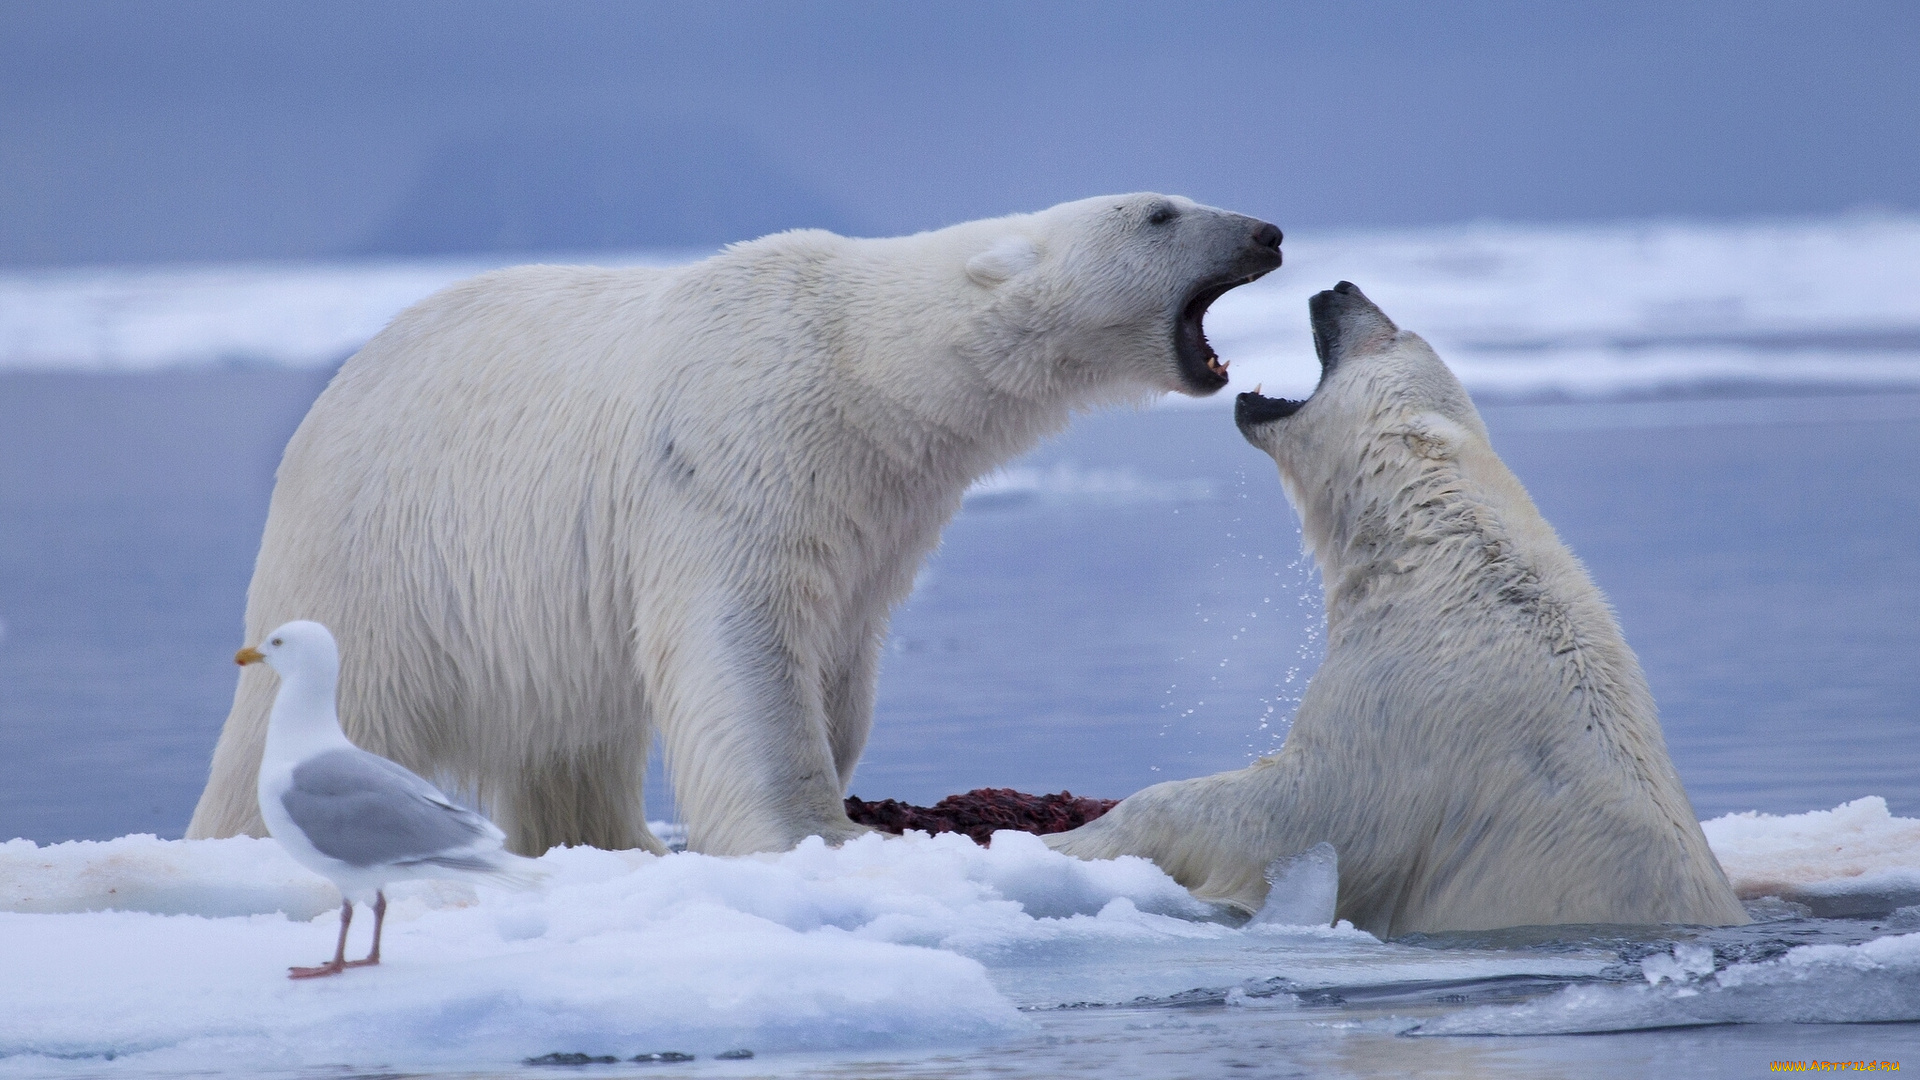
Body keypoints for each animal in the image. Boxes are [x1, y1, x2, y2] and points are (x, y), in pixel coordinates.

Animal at [187, 195, 1282, 857]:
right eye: (1161, 211)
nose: (1268, 230)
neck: (865, 366)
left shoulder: (877, 510)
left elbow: (841, 660)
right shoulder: (739, 449)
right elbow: (742, 647)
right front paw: (816, 831)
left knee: (572, 739)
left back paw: (613, 843)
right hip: (379, 542)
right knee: (330, 704)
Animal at [1044, 278, 1751, 933]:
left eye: (1392, 334)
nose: (1341, 287)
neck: (1436, 546)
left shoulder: (1404, 708)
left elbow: (1297, 809)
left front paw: (1067, 841)